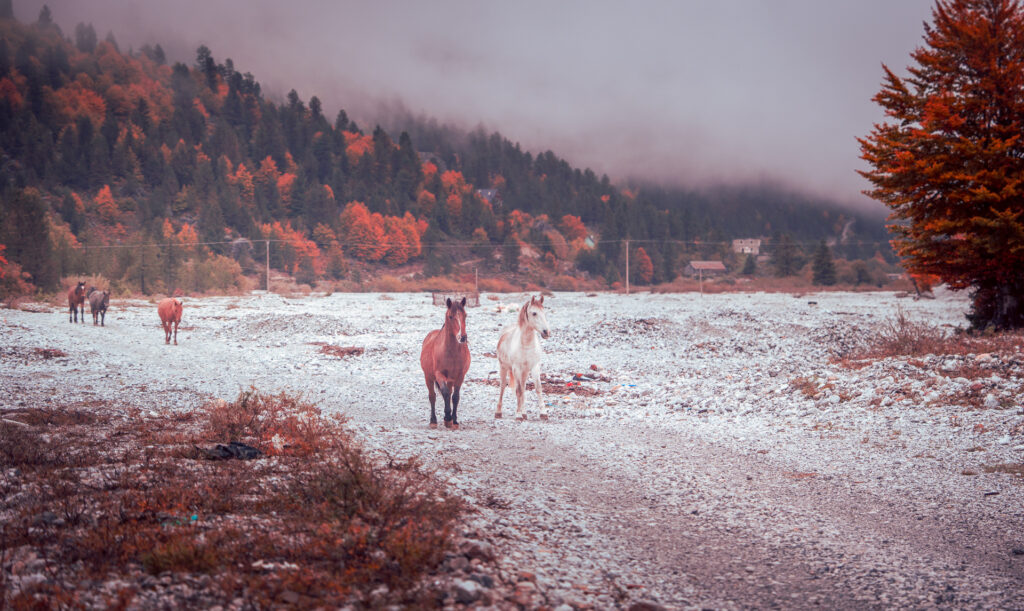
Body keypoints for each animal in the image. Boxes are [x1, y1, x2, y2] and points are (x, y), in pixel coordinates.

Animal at [419, 296, 471, 429]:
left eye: (465, 315)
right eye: (451, 316)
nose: (462, 337)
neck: (452, 353)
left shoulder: (460, 376)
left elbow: (455, 397)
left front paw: (454, 421)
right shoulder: (439, 374)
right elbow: (445, 394)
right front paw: (447, 418)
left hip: (450, 380)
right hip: (428, 377)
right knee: (432, 396)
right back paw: (433, 421)